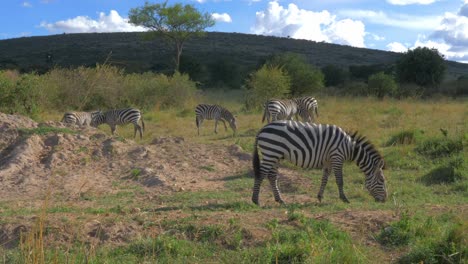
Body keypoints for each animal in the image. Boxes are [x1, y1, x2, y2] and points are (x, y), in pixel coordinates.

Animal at [252, 120, 388, 206]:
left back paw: (280, 200)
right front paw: (344, 199)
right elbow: (340, 180)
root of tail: (263, 128)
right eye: (382, 180)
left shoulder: (328, 161)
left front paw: (320, 197)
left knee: (272, 176)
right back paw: (255, 200)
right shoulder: (337, 157)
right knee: (261, 174)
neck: (349, 147)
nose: (385, 200)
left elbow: (325, 179)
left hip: (275, 155)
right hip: (271, 152)